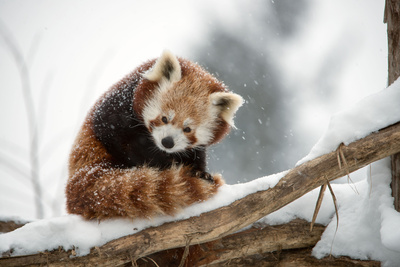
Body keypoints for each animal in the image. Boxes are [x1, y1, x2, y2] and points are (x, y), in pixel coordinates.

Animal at [65, 50, 244, 220]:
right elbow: (125, 143)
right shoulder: (117, 109)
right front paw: (167, 165)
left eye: (187, 129)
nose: (167, 142)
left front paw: (200, 172)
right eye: (164, 118)